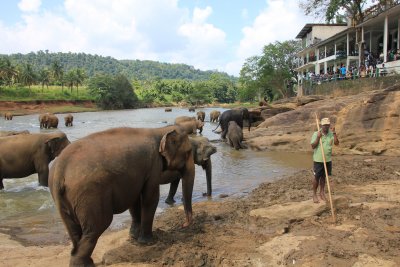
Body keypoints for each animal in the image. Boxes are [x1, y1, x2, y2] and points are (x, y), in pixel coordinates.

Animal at [48, 126, 195, 267]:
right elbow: (150, 198)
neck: (160, 130)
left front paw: (134, 237)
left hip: (62, 198)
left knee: (73, 229)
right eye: (188, 152)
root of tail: (60, 171)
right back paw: (84, 264)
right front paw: (147, 242)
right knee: (97, 227)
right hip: (89, 195)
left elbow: (135, 200)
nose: (184, 225)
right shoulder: (153, 166)